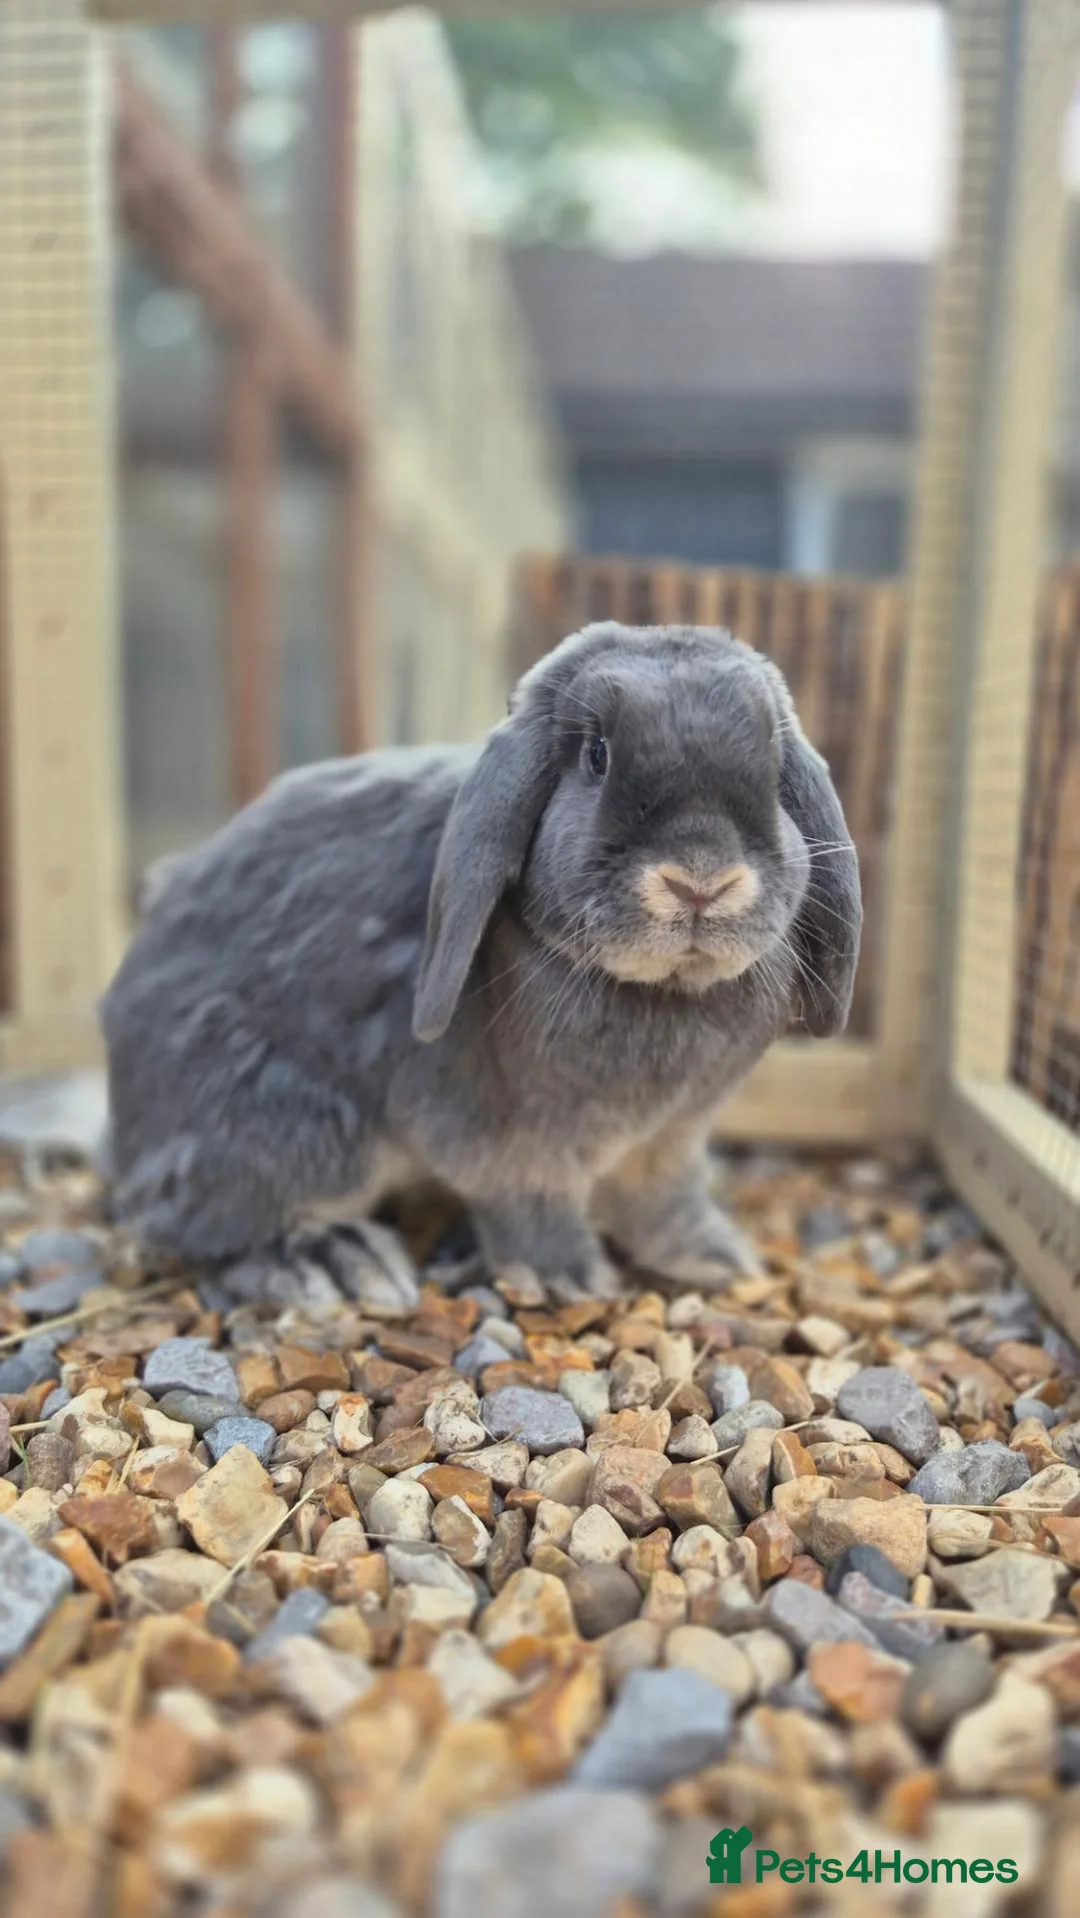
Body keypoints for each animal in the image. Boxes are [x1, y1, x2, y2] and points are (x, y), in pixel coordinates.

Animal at [101, 622, 861, 1292]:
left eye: (773, 762)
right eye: (597, 755)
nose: (702, 879)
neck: (662, 992)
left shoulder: (668, 1139)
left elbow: (662, 1199)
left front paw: (716, 1256)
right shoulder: (507, 1142)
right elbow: (529, 1200)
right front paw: (565, 1275)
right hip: (294, 1131)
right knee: (198, 1228)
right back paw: (330, 1262)